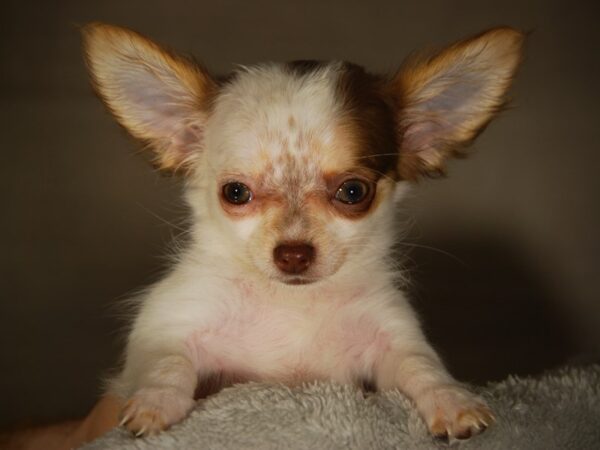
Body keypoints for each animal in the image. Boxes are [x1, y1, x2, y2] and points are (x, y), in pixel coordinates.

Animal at [82, 22, 524, 442]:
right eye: (235, 193)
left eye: (353, 192)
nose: (293, 254)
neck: (290, 303)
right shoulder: (168, 325)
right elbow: (167, 362)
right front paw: (156, 401)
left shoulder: (390, 337)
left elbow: (420, 364)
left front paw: (450, 399)